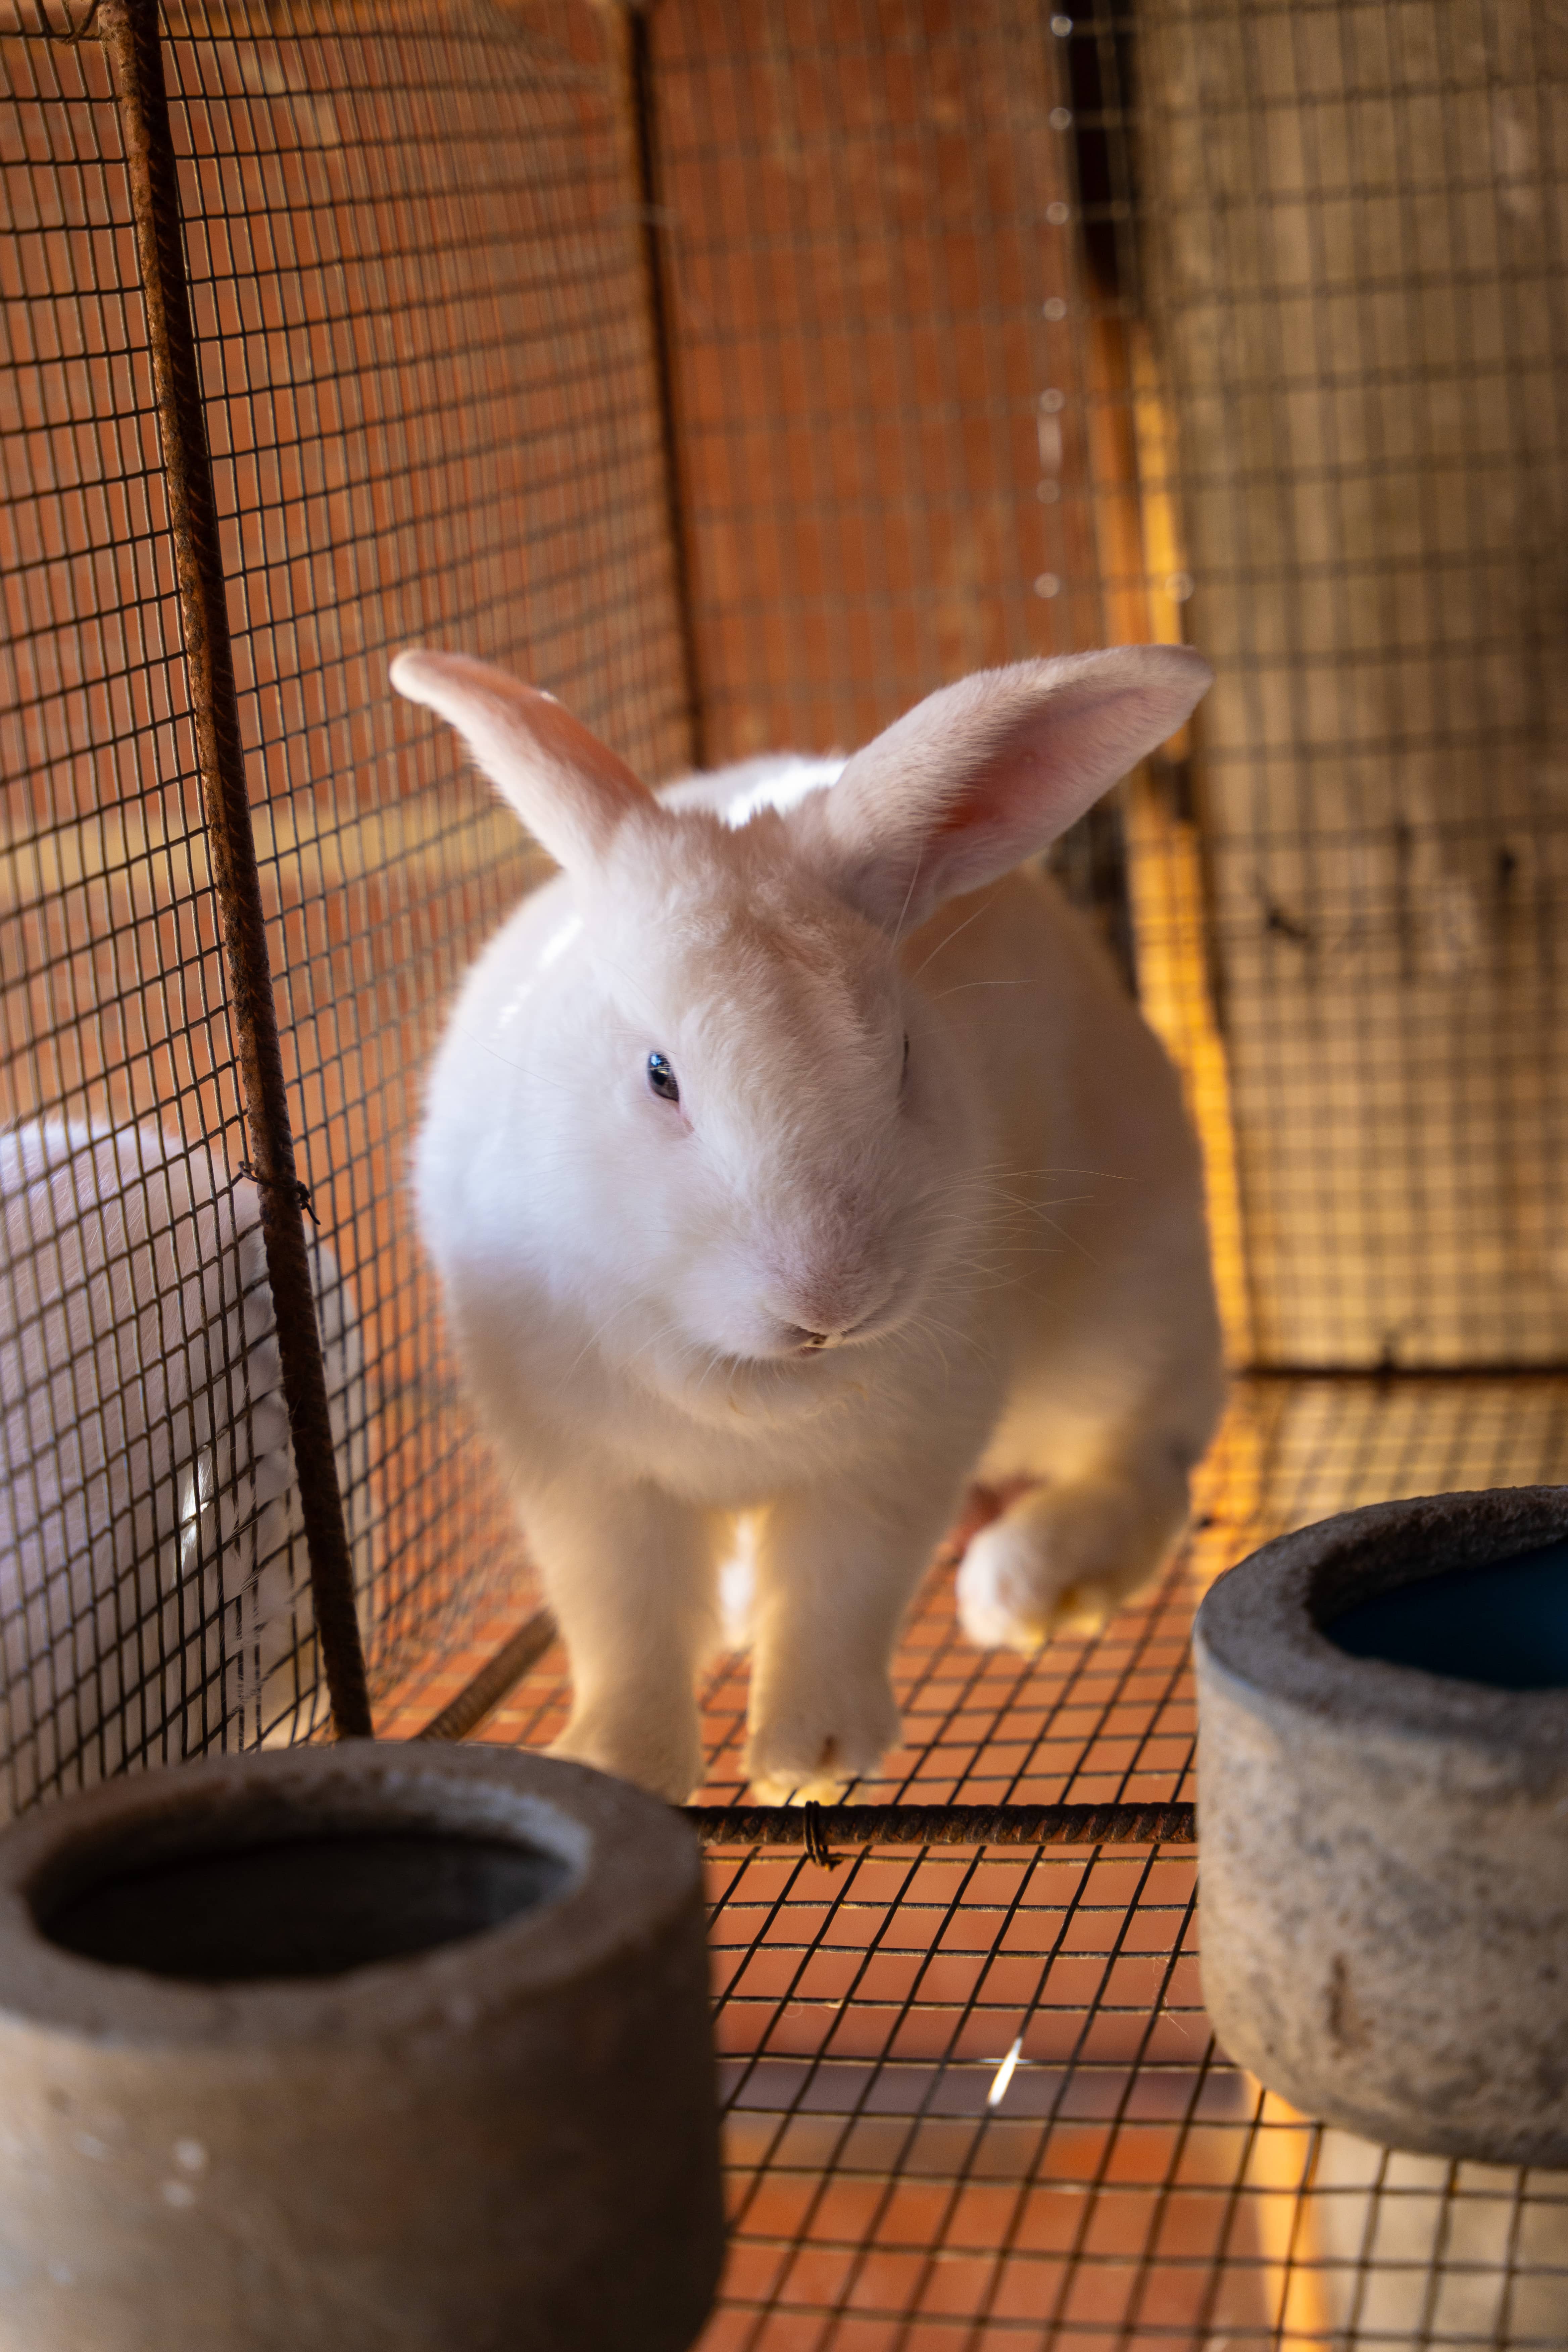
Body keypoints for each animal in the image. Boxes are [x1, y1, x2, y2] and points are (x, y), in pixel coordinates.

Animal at [393, 644, 1225, 1805]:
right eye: (661, 1077)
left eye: (906, 1055)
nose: (831, 1300)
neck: (745, 1377)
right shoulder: (583, 1478)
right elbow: (625, 1627)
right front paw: (622, 1766)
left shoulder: (891, 1464)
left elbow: (837, 1602)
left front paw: (810, 1764)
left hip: (1128, 1317)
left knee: (1143, 1466)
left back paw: (1024, 1587)